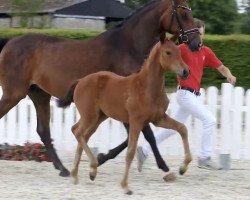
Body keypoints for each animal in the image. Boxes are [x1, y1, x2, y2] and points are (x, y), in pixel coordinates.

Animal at [0, 0, 200, 177]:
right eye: (183, 14)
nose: (196, 43)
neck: (128, 46)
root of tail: (9, 43)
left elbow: (134, 136)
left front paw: (103, 157)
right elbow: (146, 134)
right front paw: (163, 165)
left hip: (39, 95)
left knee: (43, 130)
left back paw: (62, 169)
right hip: (14, 94)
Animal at [57, 37, 192, 194]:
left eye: (179, 52)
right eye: (168, 52)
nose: (185, 71)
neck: (146, 88)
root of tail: (80, 81)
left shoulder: (158, 119)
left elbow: (182, 128)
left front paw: (183, 168)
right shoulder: (136, 122)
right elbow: (130, 151)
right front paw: (125, 186)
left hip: (98, 118)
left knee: (81, 134)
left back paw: (79, 174)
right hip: (89, 116)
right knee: (78, 132)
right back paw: (92, 167)